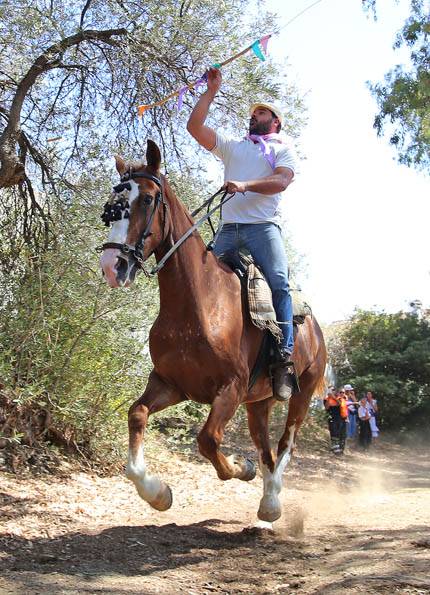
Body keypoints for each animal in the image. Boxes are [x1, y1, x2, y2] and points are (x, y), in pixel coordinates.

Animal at [99, 140, 326, 528]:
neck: (198, 306)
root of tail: (315, 328)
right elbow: (137, 413)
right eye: (114, 201)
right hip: (258, 403)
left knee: (286, 444)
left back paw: (272, 504)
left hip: (303, 392)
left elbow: (207, 440)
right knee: (266, 449)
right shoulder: (171, 383)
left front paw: (239, 467)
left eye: (147, 199)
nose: (112, 266)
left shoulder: (230, 389)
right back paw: (265, 508)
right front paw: (157, 493)